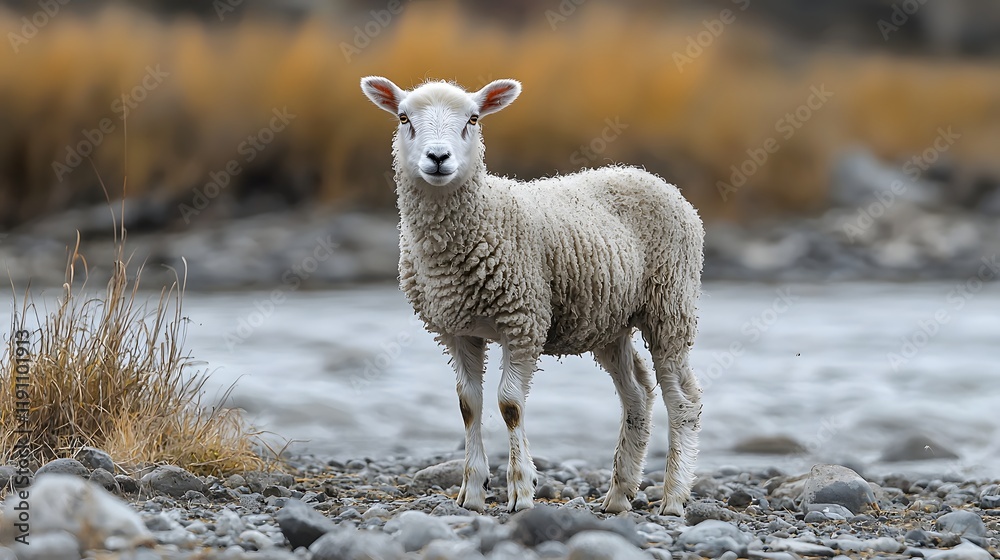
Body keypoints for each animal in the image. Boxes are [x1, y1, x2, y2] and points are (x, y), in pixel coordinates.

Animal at [360, 76, 704, 515]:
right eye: (404, 117)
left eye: (473, 119)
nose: (438, 158)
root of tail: (648, 176)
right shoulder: (457, 329)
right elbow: (468, 405)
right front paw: (472, 493)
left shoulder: (523, 319)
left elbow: (509, 405)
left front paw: (521, 491)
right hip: (609, 320)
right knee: (638, 394)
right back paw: (619, 494)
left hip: (670, 303)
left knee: (682, 398)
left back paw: (674, 497)